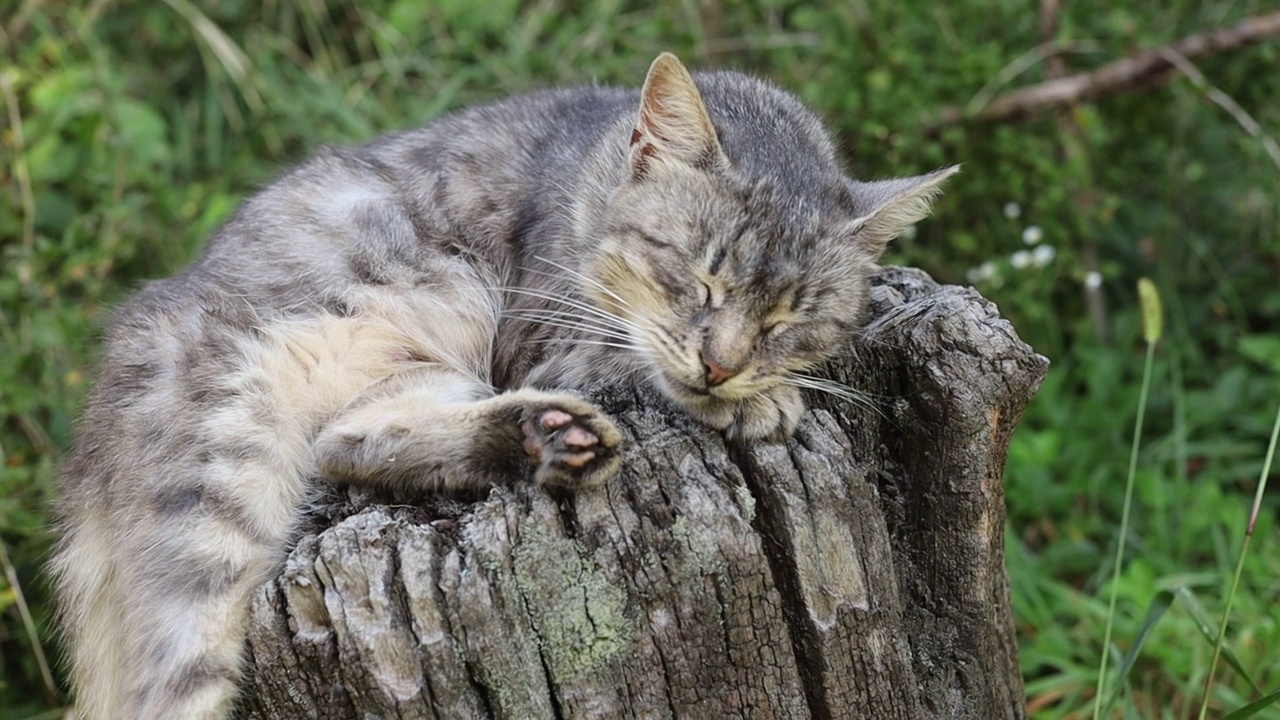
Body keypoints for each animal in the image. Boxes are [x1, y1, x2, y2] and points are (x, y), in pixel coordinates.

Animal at [49, 53, 957, 712]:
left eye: (789, 317)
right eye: (698, 281)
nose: (723, 364)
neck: (592, 176)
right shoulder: (544, 337)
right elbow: (634, 358)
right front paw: (758, 398)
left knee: (351, 441)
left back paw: (544, 436)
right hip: (221, 478)